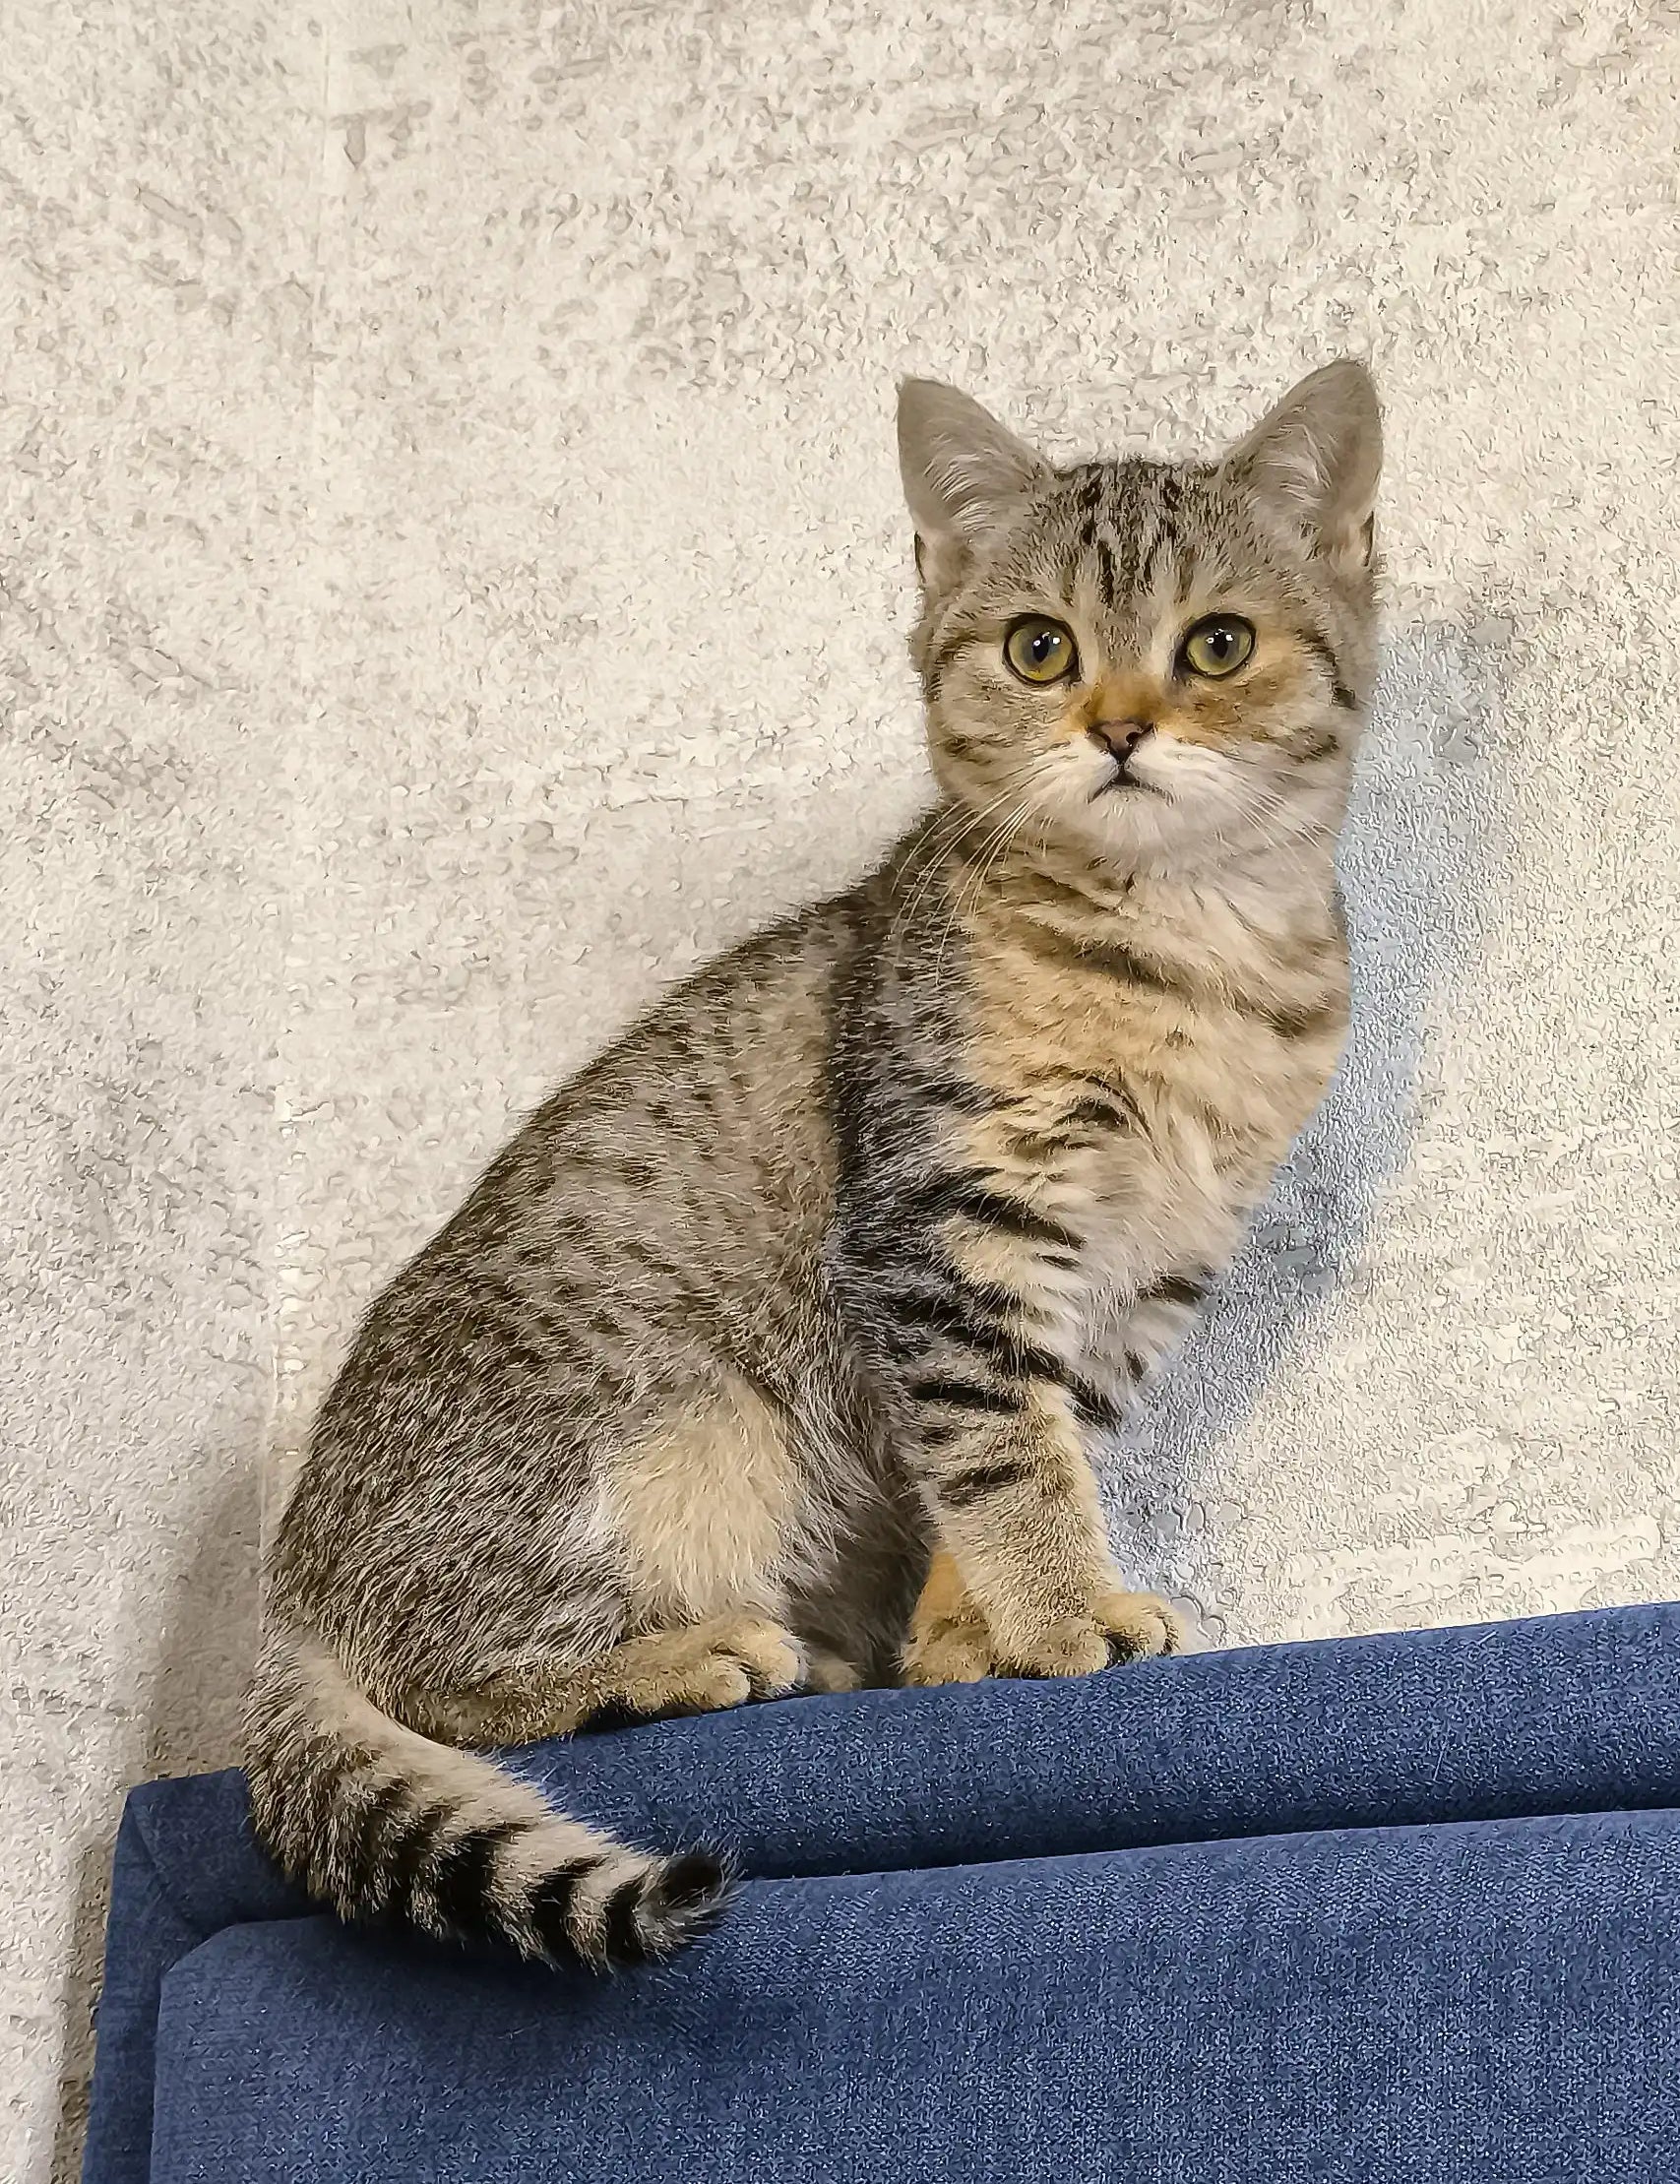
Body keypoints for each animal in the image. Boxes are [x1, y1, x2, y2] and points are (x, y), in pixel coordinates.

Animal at [245, 353, 1380, 1966]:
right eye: (1039, 648)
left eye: (1215, 644)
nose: (1115, 728)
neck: (1188, 946)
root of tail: (290, 1596)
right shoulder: (942, 1221)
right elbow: (1001, 1449)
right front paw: (1059, 1615)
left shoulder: (1142, 1272)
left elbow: (1042, 1442)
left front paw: (969, 1634)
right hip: (696, 1425)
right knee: (436, 1678)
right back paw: (679, 1654)